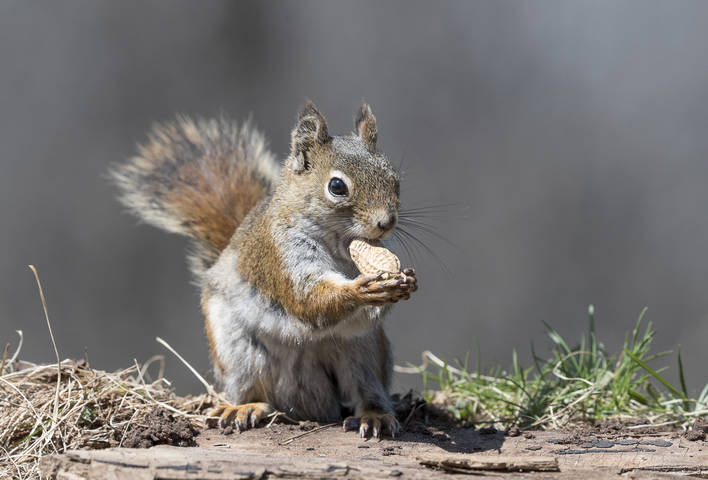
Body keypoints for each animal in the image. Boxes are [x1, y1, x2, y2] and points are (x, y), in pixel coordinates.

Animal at [112, 101, 418, 438]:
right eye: (337, 186)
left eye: (394, 179)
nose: (386, 222)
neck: (338, 246)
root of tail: (309, 403)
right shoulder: (279, 258)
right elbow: (309, 301)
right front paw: (363, 288)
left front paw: (404, 283)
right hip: (238, 350)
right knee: (254, 389)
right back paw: (245, 407)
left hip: (365, 354)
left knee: (365, 389)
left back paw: (375, 415)